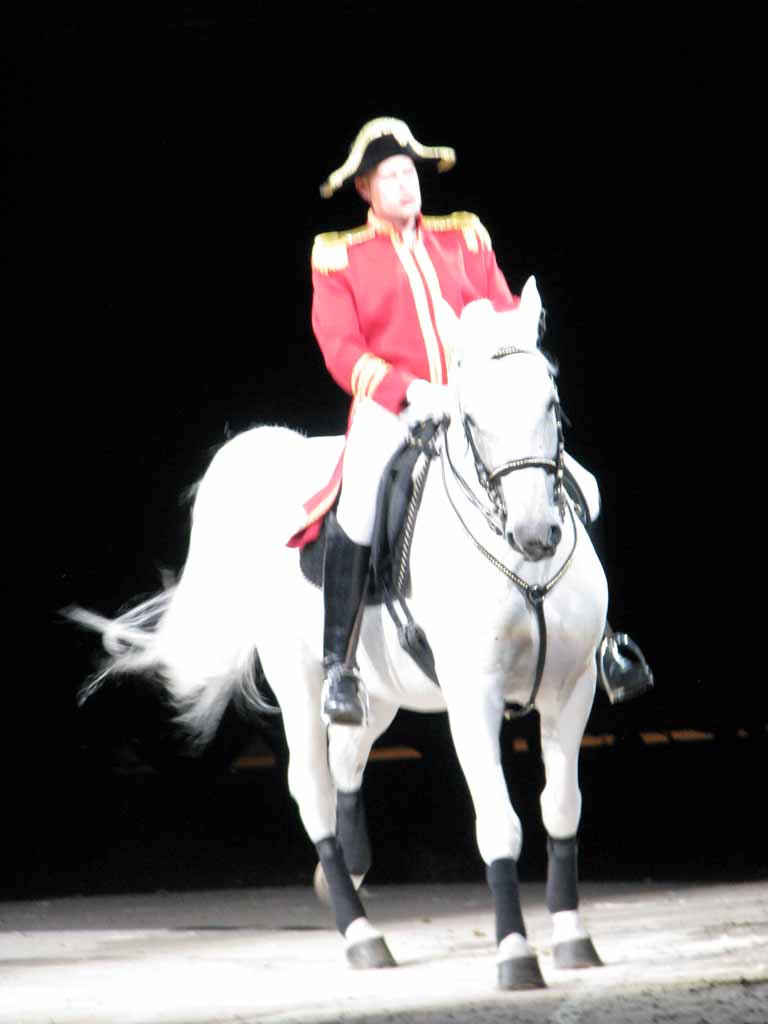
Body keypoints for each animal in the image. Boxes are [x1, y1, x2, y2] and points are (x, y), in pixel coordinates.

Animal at [73, 276, 614, 987]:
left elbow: (563, 807)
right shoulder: (473, 695)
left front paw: (574, 935)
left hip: (377, 692)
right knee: (314, 790)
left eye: (550, 402)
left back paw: (350, 872)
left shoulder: (572, 690)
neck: (522, 565)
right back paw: (359, 931)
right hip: (297, 680)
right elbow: (499, 822)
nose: (534, 534)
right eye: (471, 416)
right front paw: (515, 953)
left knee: (349, 761)